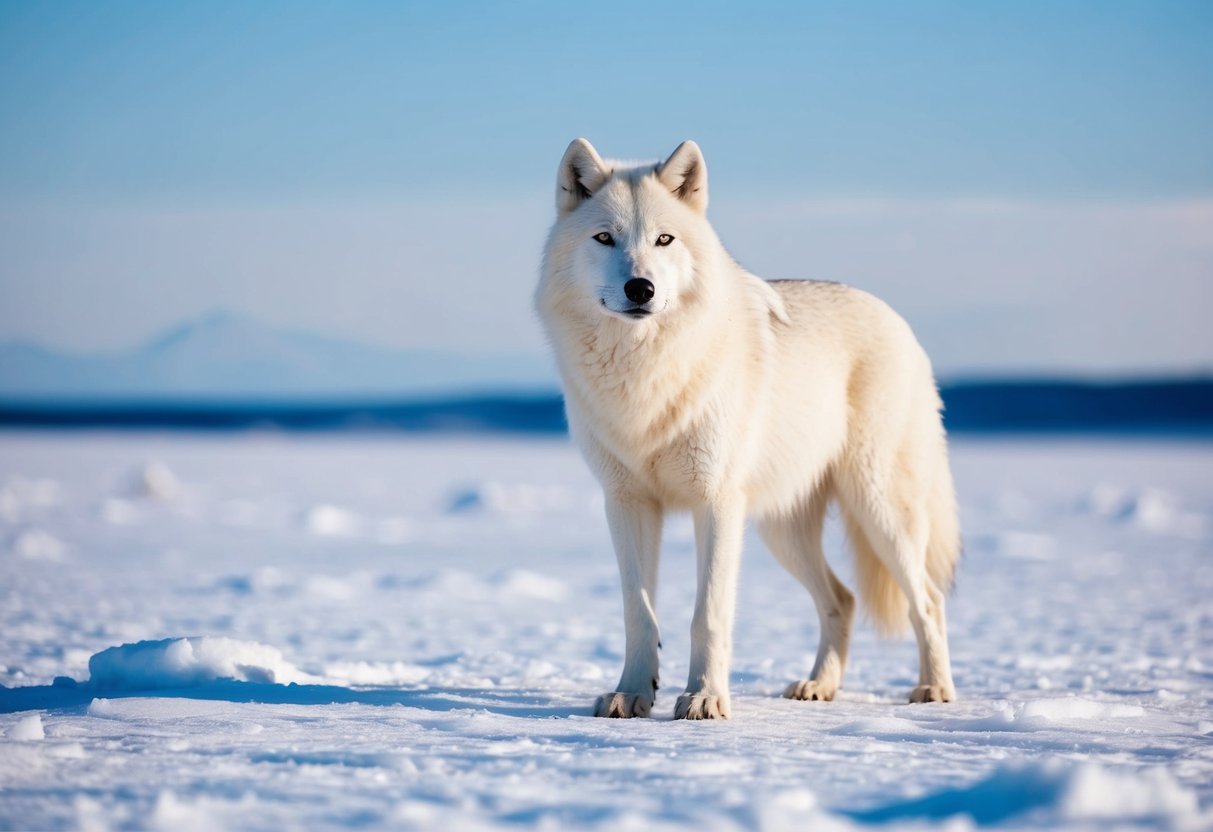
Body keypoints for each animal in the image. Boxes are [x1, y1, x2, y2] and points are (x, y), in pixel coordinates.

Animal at [535, 138, 960, 720]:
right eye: (604, 238)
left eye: (664, 239)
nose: (640, 288)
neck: (646, 375)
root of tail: (902, 325)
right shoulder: (626, 503)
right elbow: (638, 613)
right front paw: (632, 693)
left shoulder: (716, 502)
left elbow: (708, 614)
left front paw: (704, 698)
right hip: (781, 529)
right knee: (843, 599)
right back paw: (818, 686)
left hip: (879, 511)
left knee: (929, 600)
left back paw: (935, 690)